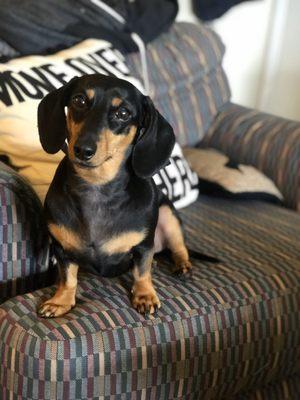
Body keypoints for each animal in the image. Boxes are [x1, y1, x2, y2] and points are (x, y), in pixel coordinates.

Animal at [37, 74, 216, 318]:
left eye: (123, 113)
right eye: (79, 100)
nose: (83, 150)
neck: (97, 186)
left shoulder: (144, 246)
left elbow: (141, 272)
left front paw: (145, 295)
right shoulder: (61, 250)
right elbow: (67, 278)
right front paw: (60, 301)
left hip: (168, 214)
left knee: (178, 247)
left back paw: (182, 265)